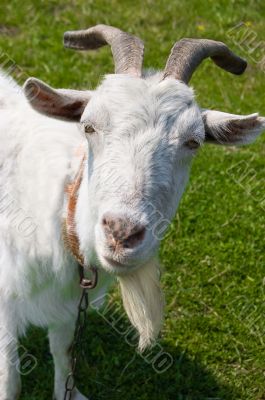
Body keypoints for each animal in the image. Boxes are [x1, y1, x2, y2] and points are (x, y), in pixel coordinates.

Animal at [0, 25, 264, 400]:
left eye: (194, 141)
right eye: (88, 125)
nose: (121, 233)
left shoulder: (67, 305)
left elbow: (63, 350)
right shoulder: (6, 298)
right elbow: (10, 379)